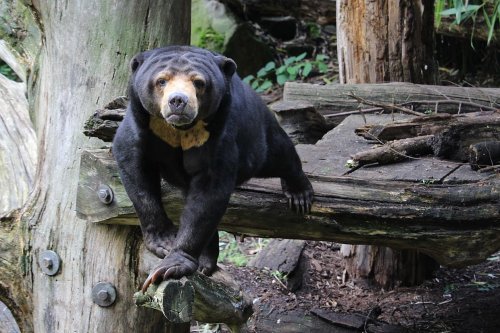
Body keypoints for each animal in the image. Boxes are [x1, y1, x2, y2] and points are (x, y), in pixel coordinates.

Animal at [114, 45, 312, 290]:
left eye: (198, 82)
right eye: (161, 80)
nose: (178, 101)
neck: (179, 130)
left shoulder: (219, 135)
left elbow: (208, 194)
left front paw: (171, 265)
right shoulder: (140, 122)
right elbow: (134, 168)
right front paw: (164, 241)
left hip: (257, 136)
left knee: (280, 154)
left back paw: (300, 194)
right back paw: (205, 261)